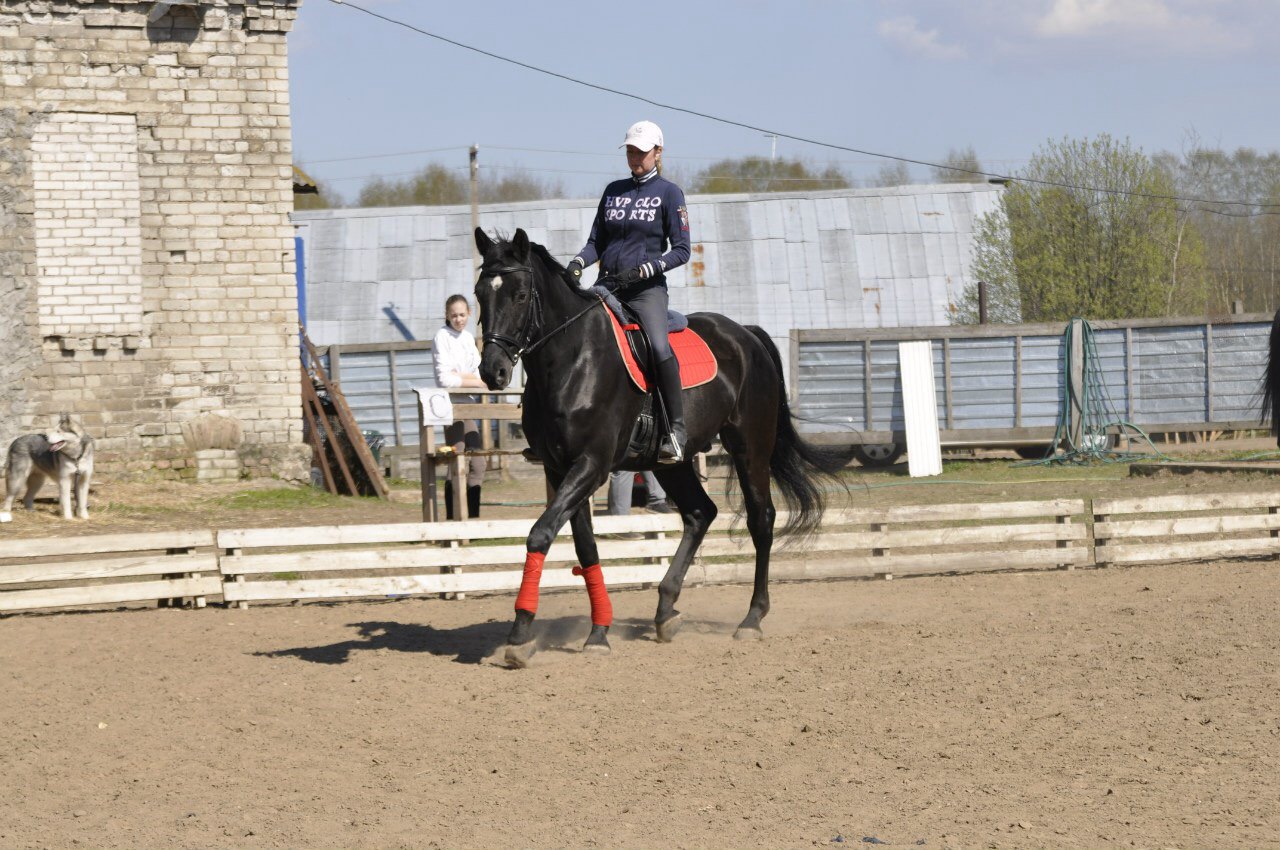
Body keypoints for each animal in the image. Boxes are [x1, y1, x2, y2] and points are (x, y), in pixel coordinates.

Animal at [471, 229, 849, 665]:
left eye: (519, 295)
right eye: (480, 294)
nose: (492, 371)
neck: (572, 360)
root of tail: (745, 334)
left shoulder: (592, 464)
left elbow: (540, 534)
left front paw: (520, 635)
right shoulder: (560, 467)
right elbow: (585, 548)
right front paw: (598, 631)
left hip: (750, 446)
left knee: (761, 519)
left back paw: (752, 618)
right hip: (672, 462)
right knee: (701, 513)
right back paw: (666, 610)